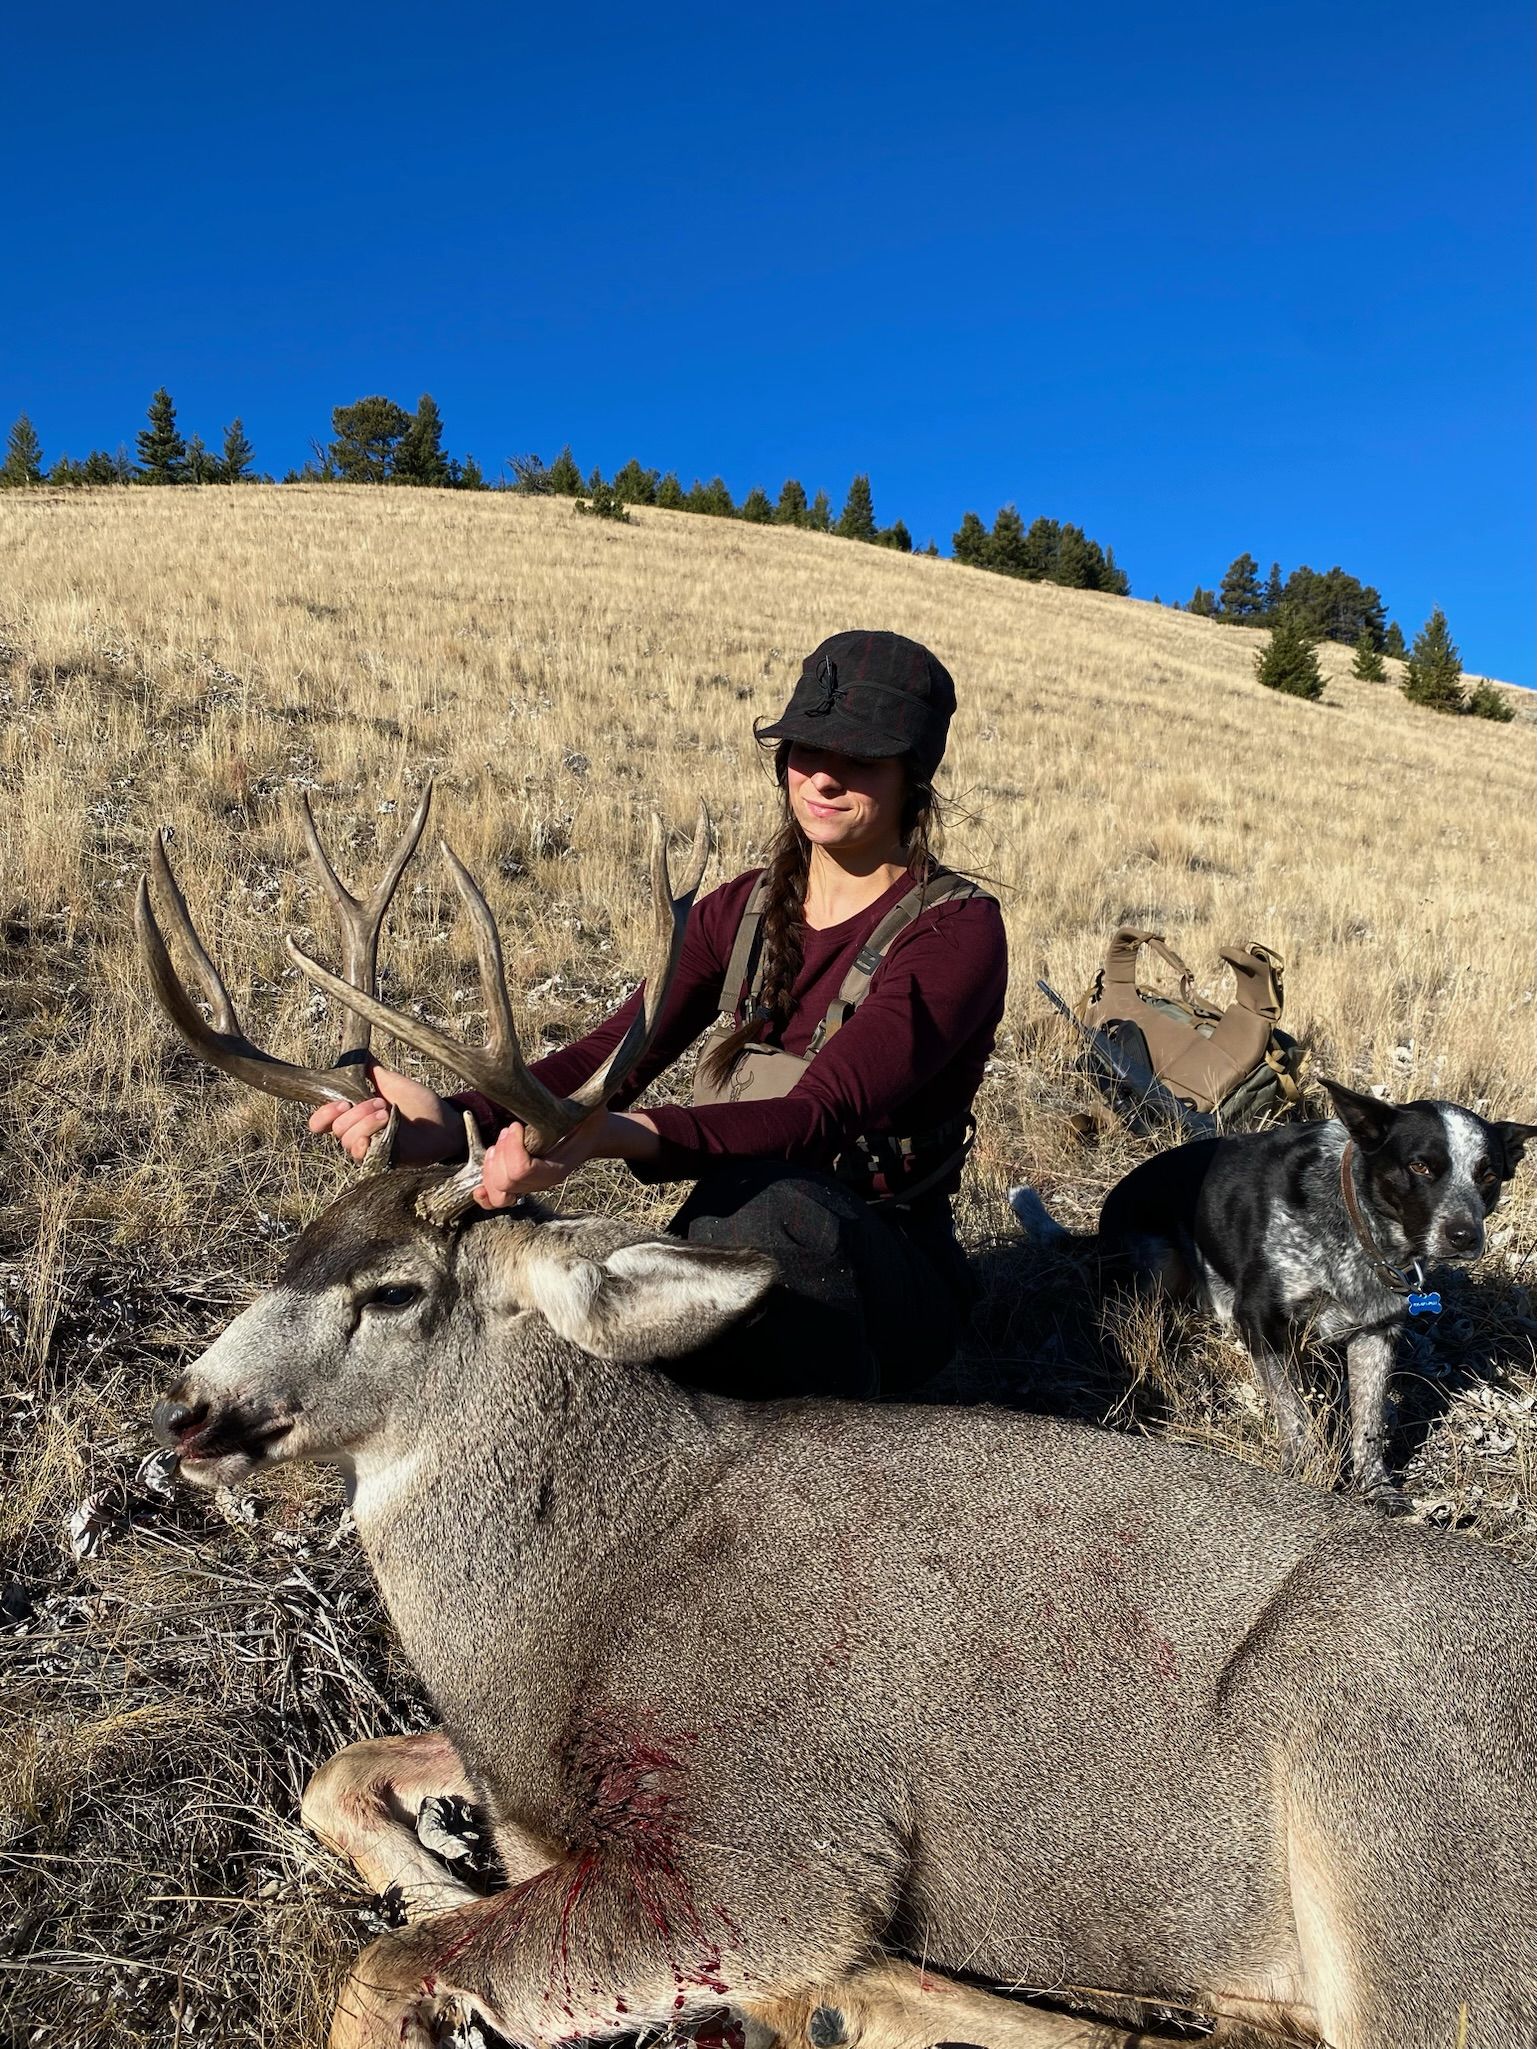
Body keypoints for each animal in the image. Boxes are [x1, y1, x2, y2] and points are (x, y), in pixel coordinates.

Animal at [139, 790, 1537, 2049]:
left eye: (393, 1292)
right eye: (297, 1242)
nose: (191, 1415)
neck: (583, 1583)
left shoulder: (765, 1844)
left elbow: (378, 1973)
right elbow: (337, 1774)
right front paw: (434, 1868)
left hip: (1407, 1862)